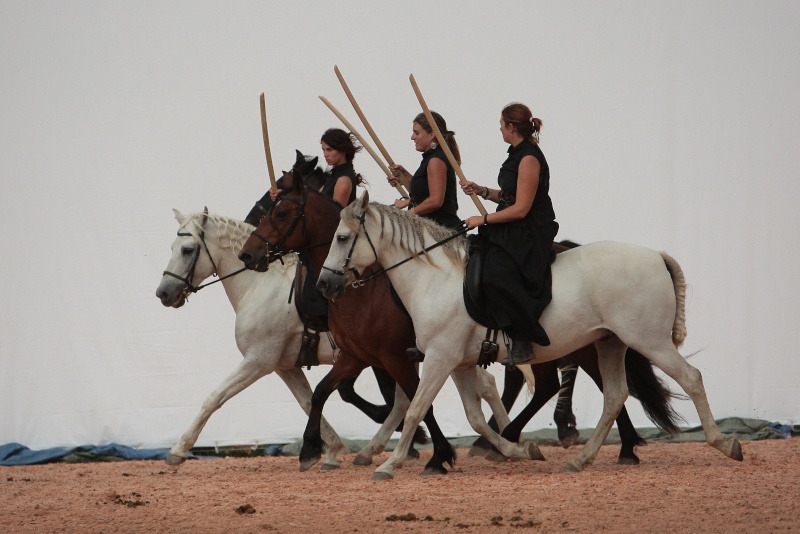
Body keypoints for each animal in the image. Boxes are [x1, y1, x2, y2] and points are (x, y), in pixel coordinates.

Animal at [155, 209, 418, 468]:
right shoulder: (285, 367)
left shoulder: (258, 361)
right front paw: (332, 448)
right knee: (402, 399)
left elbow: (214, 397)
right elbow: (308, 401)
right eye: (172, 247)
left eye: (188, 249)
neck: (260, 286)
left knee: (402, 398)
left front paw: (179, 449)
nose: (163, 293)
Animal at [238, 160, 680, 474]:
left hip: (598, 342)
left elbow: (417, 404)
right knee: (584, 388)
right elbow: (328, 393)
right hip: (591, 342)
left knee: (579, 387)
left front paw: (431, 455)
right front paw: (322, 449)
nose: (247, 253)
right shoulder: (367, 355)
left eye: (278, 211)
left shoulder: (407, 356)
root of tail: (654, 255)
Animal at [318, 194, 744, 482]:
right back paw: (581, 459)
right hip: (609, 343)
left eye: (342, 237)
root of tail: (655, 256)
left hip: (648, 340)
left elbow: (417, 408)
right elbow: (474, 418)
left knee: (690, 378)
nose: (324, 285)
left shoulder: (438, 359)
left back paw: (725, 444)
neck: (434, 279)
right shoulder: (458, 363)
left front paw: (390, 465)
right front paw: (519, 449)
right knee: (614, 396)